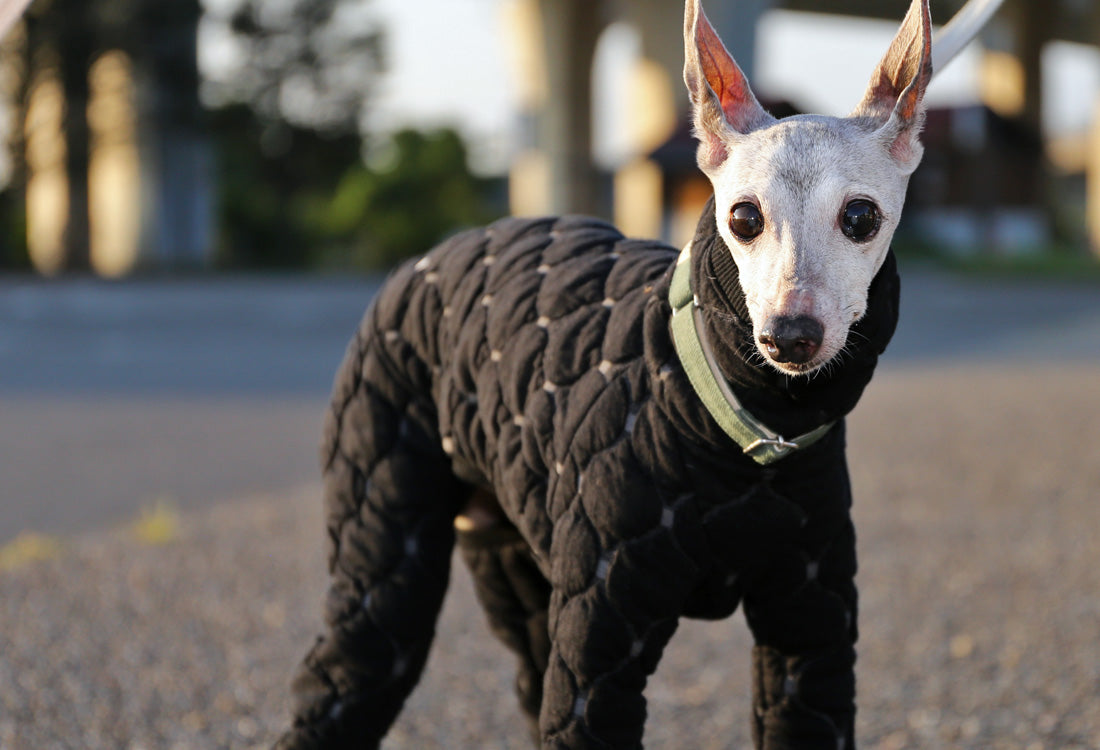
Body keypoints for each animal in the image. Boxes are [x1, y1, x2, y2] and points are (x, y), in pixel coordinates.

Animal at [279, 2, 1003, 743]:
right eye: (743, 217)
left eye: (860, 216)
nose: (789, 337)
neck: (739, 425)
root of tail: (427, 257)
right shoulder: (602, 627)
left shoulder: (809, 621)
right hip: (385, 530)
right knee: (354, 665)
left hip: (513, 562)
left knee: (527, 673)